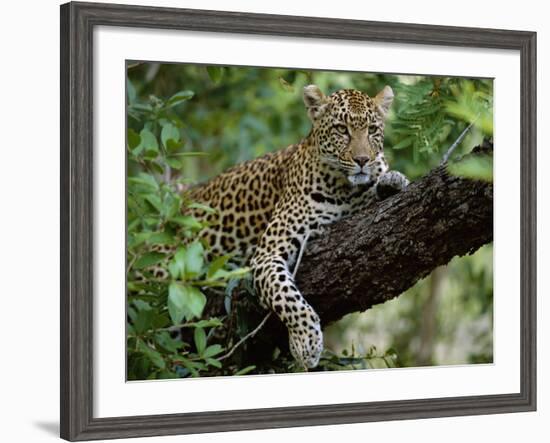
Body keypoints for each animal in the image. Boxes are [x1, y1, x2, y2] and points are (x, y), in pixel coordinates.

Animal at [147, 85, 410, 370]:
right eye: (342, 129)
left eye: (372, 130)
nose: (363, 159)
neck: (345, 190)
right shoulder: (267, 254)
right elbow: (287, 297)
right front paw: (306, 343)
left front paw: (392, 181)